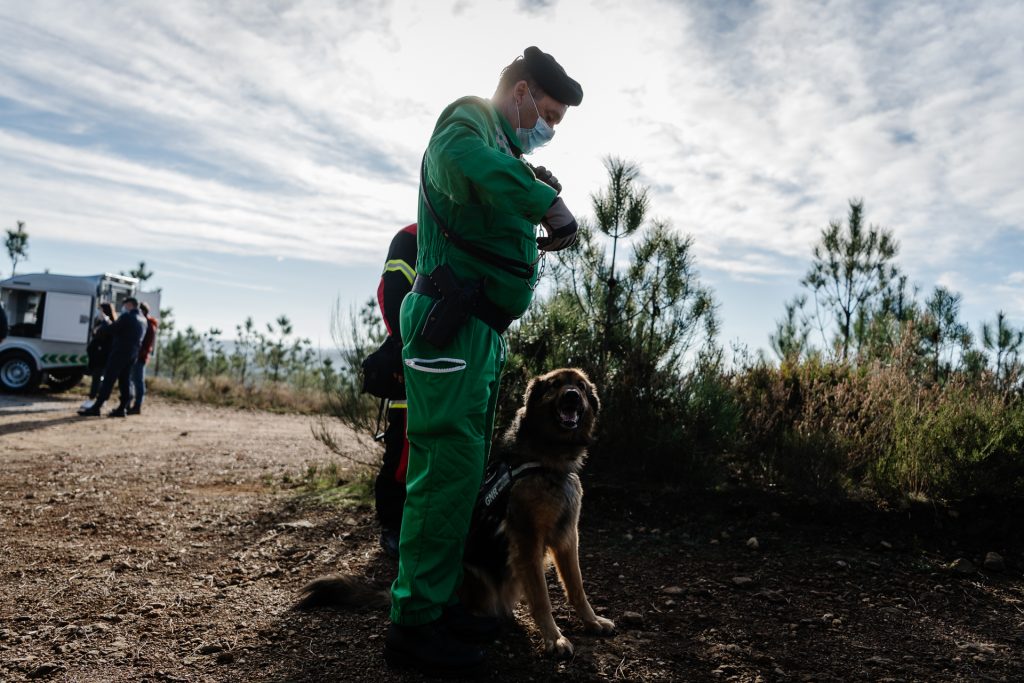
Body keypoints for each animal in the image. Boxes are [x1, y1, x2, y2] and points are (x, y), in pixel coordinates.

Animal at [299, 368, 614, 655]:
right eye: (555, 385)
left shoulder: (567, 538)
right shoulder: (527, 542)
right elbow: (542, 598)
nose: (572, 397)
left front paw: (591, 621)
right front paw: (554, 638)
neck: (548, 461)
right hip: (469, 572)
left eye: (581, 386)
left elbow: (577, 586)